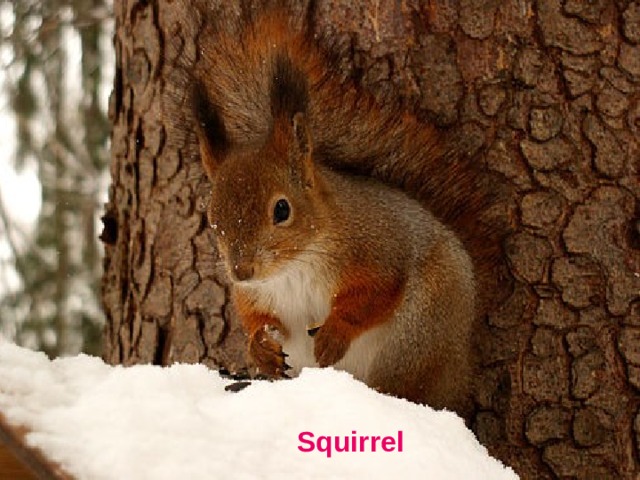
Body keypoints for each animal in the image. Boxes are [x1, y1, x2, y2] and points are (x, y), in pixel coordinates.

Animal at [169, 2, 504, 419]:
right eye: (213, 219)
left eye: (282, 209)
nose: (242, 271)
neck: (294, 266)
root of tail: (458, 371)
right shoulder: (256, 294)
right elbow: (255, 318)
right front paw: (259, 347)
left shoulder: (379, 247)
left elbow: (374, 293)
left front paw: (333, 334)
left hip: (421, 331)